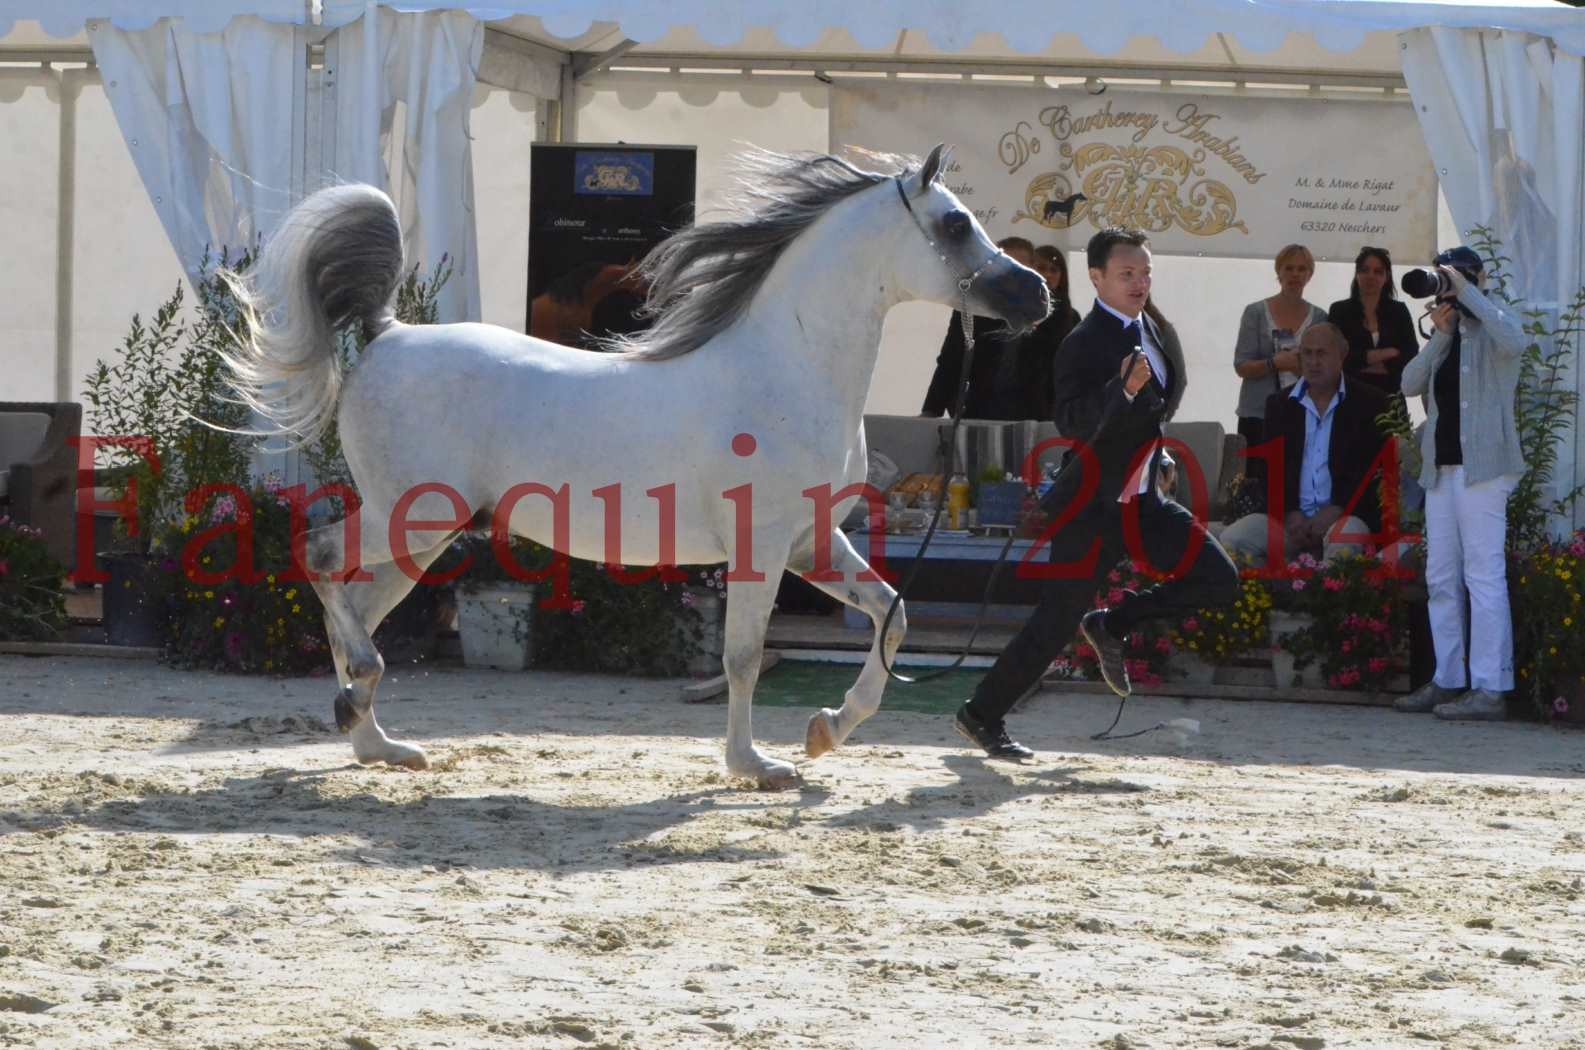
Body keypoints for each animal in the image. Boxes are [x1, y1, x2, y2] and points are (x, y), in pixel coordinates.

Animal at [217, 145, 1046, 789]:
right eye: (955, 223)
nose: (1033, 293)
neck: (788, 367)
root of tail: (385, 333)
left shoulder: (811, 544)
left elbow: (891, 617)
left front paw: (825, 731)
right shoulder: (759, 549)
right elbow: (742, 657)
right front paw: (756, 766)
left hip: (424, 536)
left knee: (359, 602)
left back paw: (374, 738)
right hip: (412, 515)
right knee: (323, 558)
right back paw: (360, 700)